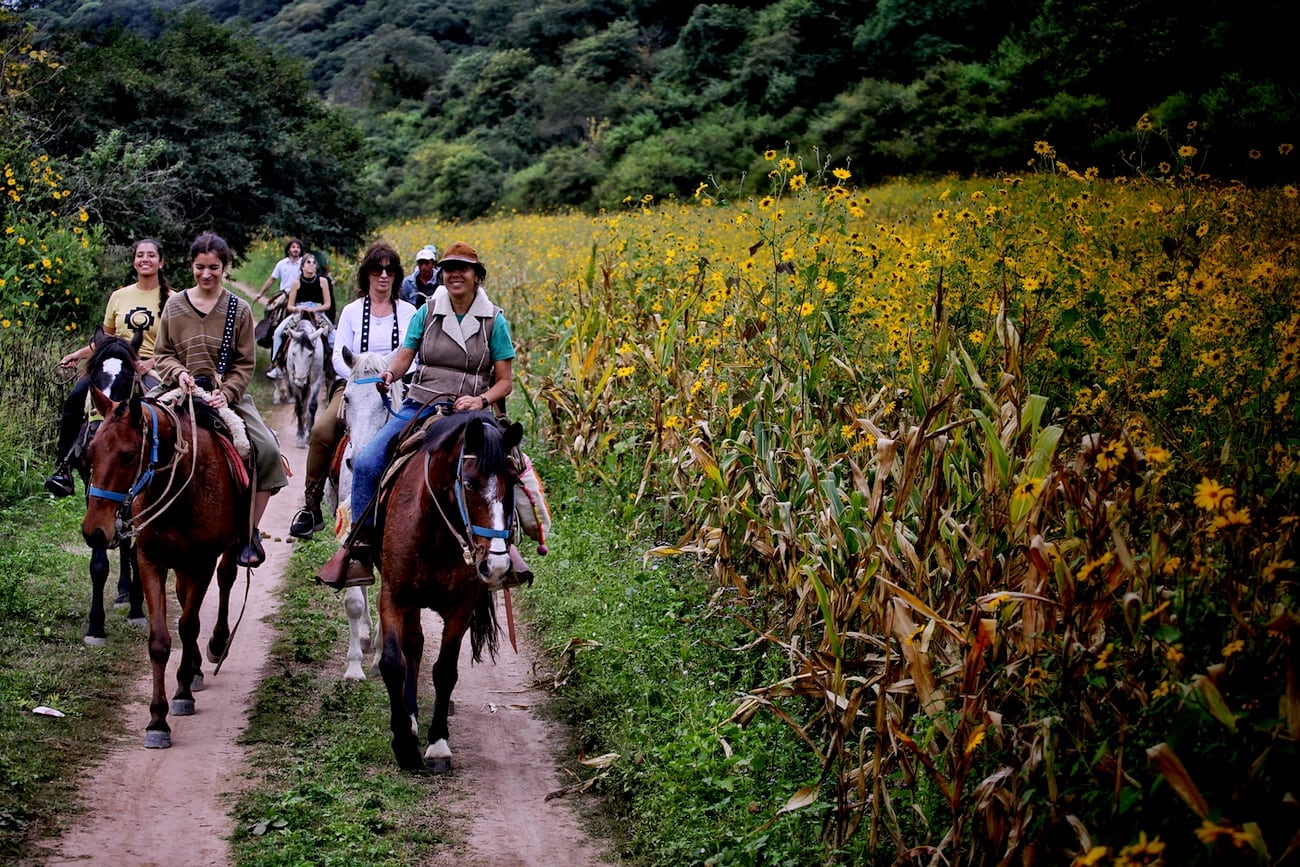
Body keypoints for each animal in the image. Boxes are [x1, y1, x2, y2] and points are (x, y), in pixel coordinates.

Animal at [79, 389, 248, 748]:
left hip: (228, 548)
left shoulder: (202, 562)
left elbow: (188, 626)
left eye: (128, 456)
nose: (94, 531)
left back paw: (216, 645)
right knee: (185, 597)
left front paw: (182, 693)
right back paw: (196, 668)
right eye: (90, 452)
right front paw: (157, 720)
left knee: (226, 580)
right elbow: (160, 640)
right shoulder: (150, 561)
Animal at [284, 311, 327, 447]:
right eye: (293, 353)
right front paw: (300, 436)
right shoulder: (292, 382)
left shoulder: (316, 380)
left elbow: (312, 406)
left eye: (310, 354)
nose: (300, 381)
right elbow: (299, 407)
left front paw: (308, 435)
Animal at [377, 408, 522, 774]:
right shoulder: (394, 594)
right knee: (412, 647)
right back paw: (410, 717)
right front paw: (404, 744)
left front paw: (438, 745)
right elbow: (393, 662)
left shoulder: (462, 605)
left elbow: (444, 671)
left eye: (514, 481)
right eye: (469, 483)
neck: (437, 531)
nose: (496, 565)